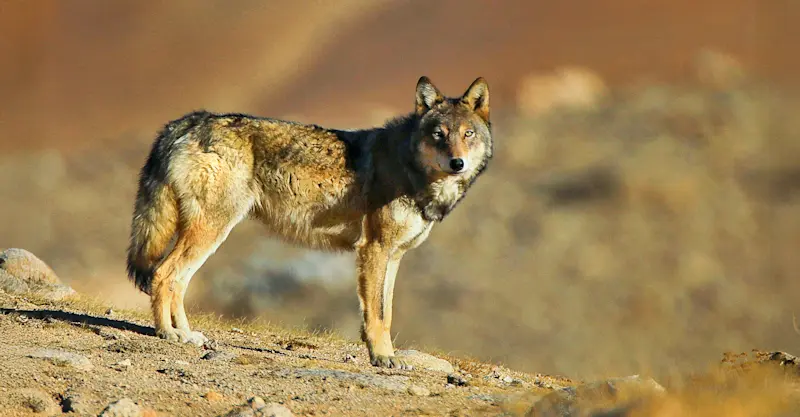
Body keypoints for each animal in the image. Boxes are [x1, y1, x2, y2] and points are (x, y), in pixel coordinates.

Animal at [126, 76, 492, 369]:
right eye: (439, 134)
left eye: (468, 134)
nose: (457, 163)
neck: (410, 168)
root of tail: (187, 121)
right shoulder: (373, 249)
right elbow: (376, 314)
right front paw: (382, 357)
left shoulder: (395, 256)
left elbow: (386, 312)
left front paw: (384, 354)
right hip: (211, 231)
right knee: (163, 274)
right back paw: (168, 334)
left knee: (178, 280)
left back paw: (186, 333)